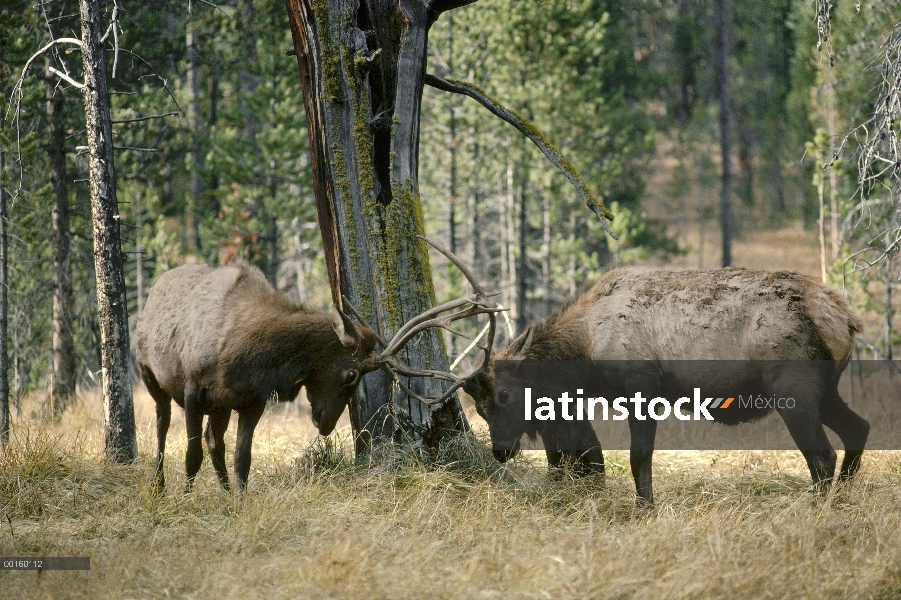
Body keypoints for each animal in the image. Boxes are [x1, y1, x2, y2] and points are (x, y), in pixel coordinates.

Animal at [138, 246, 500, 494]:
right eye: (351, 374)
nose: (325, 425)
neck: (245, 353)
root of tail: (153, 290)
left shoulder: (250, 400)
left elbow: (242, 459)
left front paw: (239, 502)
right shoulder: (193, 391)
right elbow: (191, 454)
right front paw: (186, 499)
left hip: (220, 407)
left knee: (215, 443)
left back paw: (224, 492)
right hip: (149, 376)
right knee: (162, 427)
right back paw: (157, 487)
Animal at [460, 268, 868, 502]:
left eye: (504, 393)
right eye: (479, 408)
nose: (500, 450)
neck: (585, 346)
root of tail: (844, 318)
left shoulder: (641, 384)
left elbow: (638, 456)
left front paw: (646, 507)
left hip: (794, 391)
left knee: (823, 455)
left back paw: (817, 507)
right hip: (825, 391)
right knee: (858, 428)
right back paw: (844, 496)